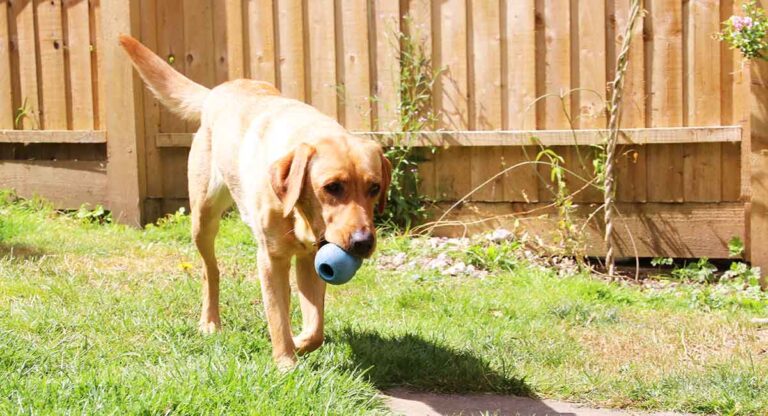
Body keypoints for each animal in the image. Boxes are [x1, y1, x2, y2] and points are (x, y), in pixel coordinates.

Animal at [123, 35, 392, 368]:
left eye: (374, 187)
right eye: (332, 187)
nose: (363, 242)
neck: (301, 214)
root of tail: (216, 92)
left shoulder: (309, 260)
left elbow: (315, 328)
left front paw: (299, 342)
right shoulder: (271, 259)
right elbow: (277, 316)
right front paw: (286, 362)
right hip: (203, 219)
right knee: (210, 270)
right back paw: (210, 321)